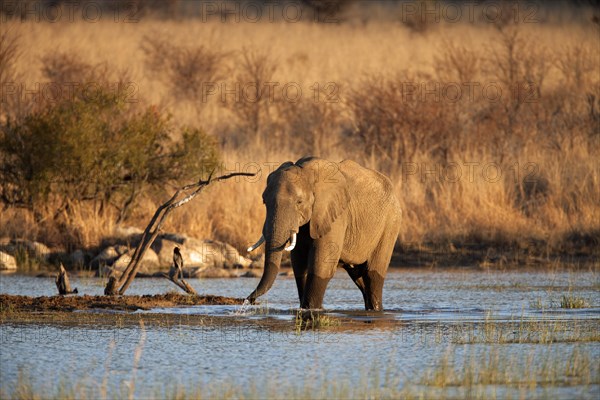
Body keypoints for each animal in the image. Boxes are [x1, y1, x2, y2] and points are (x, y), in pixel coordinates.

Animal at [246, 158, 400, 310]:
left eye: (299, 202)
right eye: (264, 202)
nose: (250, 300)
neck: (308, 173)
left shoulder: (335, 216)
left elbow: (321, 265)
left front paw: (311, 309)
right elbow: (299, 263)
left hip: (390, 224)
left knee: (372, 276)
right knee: (359, 277)